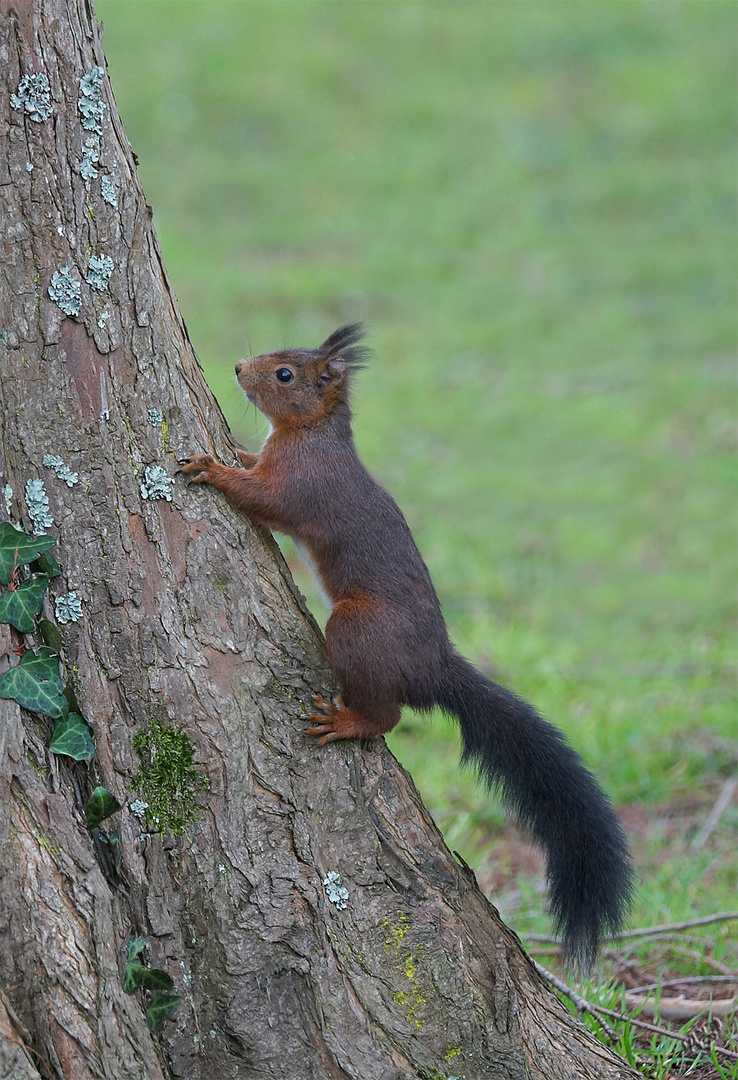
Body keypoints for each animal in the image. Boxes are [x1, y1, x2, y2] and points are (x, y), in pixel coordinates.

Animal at [181, 324, 631, 967]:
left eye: (286, 374)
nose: (240, 368)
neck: (310, 433)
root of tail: (433, 664)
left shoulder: (303, 484)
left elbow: (266, 498)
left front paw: (213, 468)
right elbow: (253, 462)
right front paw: (236, 452)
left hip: (357, 629)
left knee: (388, 715)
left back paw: (349, 722)